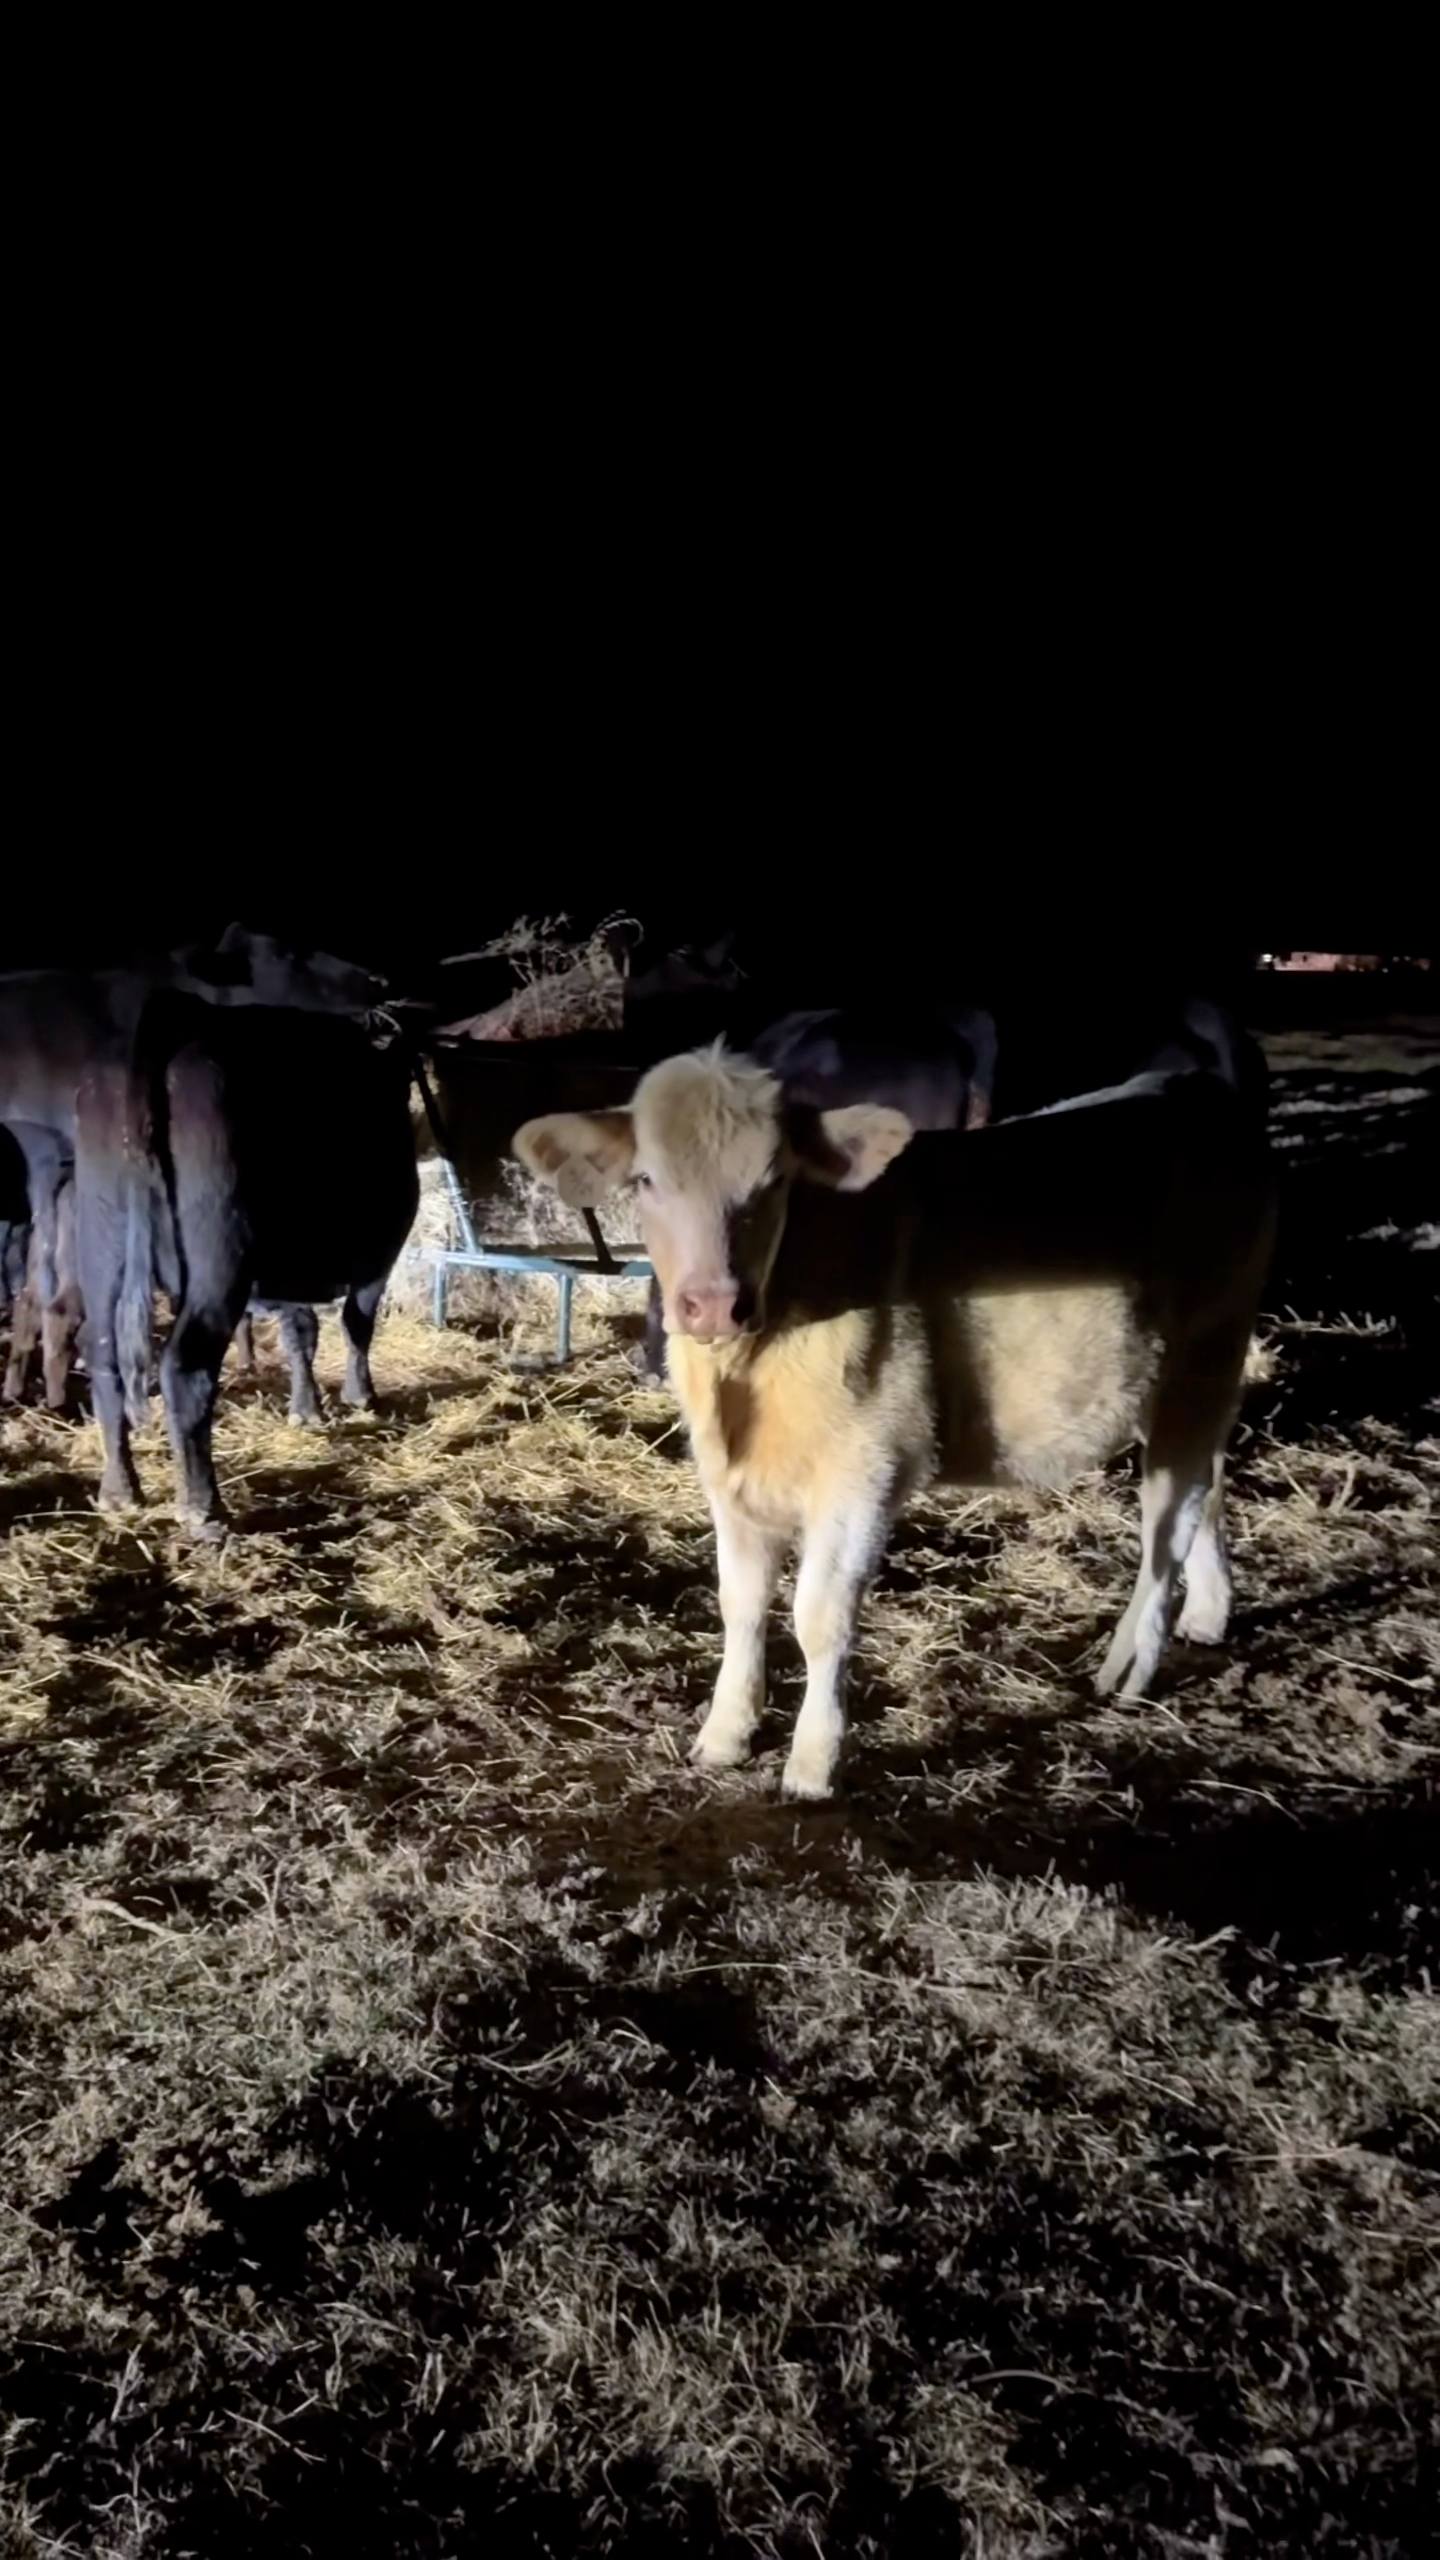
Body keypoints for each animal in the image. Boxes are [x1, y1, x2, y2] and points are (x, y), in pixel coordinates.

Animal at [75, 999, 418, 1535]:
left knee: (104, 1354)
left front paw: (307, 1410)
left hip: (102, 1251)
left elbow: (301, 1332)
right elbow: (355, 1324)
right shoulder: (378, 1253)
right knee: (186, 1365)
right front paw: (361, 1397)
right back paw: (203, 1510)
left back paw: (119, 1490)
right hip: (219, 1259)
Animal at [515, 1045, 1275, 1799]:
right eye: (646, 1180)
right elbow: (740, 1604)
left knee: (1170, 1518)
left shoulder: (865, 1468)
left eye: (774, 1181)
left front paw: (812, 1763)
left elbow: (819, 1618)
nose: (713, 1304)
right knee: (1206, 1481)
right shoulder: (729, 1477)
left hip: (1208, 1347)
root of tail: (1190, 1083)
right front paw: (725, 1734)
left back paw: (1131, 1661)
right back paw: (1208, 1612)